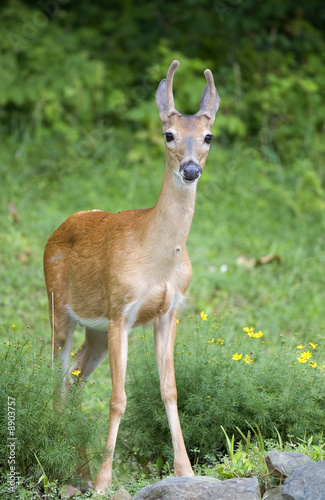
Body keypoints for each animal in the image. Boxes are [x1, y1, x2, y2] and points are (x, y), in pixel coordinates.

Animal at [43, 59, 218, 492]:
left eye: (208, 136)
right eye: (169, 134)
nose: (191, 169)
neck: (157, 261)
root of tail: (58, 228)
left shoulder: (169, 312)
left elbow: (170, 390)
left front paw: (186, 470)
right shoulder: (121, 309)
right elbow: (118, 397)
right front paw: (105, 481)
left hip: (96, 330)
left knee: (75, 378)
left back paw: (79, 468)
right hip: (60, 309)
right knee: (55, 378)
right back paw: (64, 465)